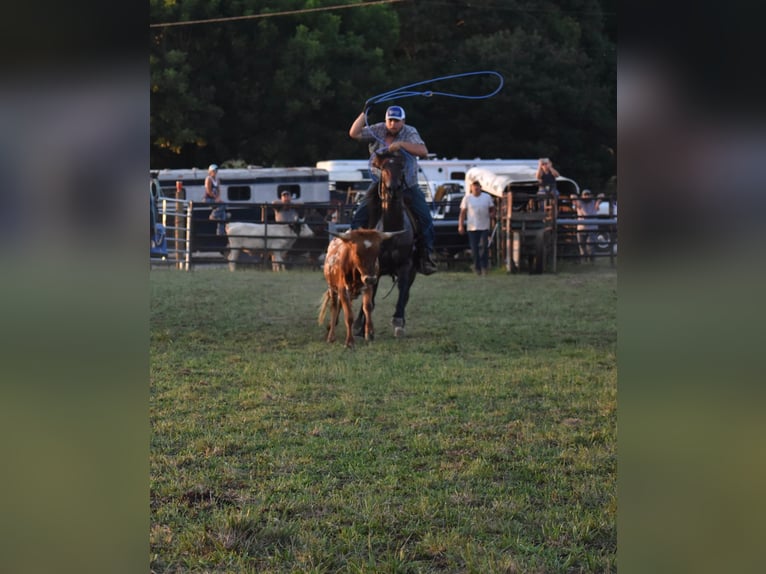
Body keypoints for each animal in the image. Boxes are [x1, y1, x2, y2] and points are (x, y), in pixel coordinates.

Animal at [356, 151, 420, 340]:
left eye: (401, 166)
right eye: (384, 168)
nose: (393, 189)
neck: (392, 231)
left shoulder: (406, 265)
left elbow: (402, 290)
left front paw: (398, 322)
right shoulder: (374, 268)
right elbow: (370, 296)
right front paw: (363, 328)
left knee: (405, 293)